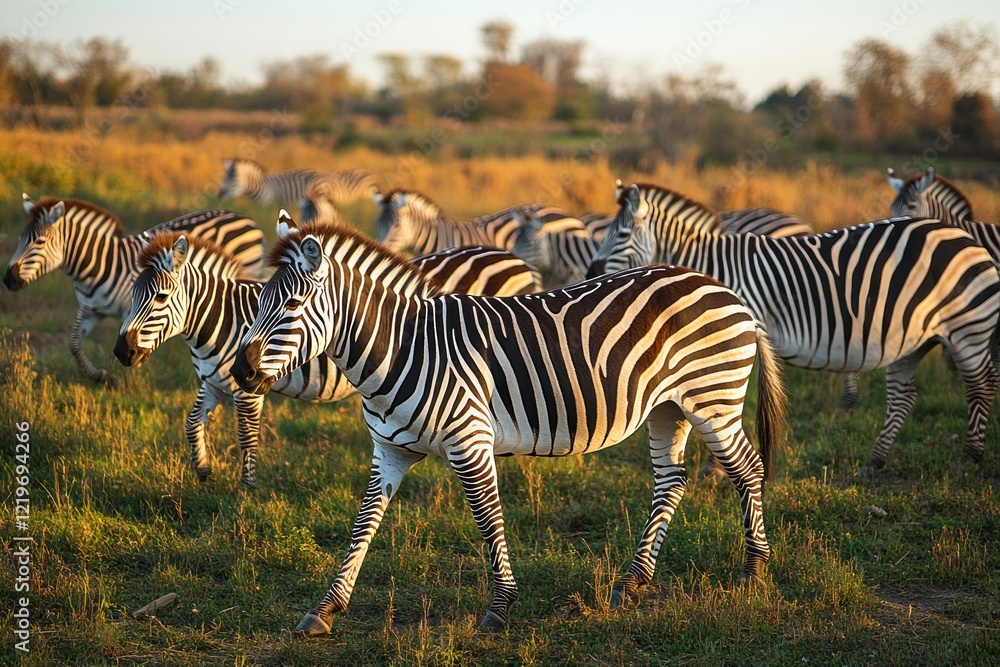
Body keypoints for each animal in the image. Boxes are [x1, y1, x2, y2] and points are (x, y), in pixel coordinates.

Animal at [3, 196, 265, 383]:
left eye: (39, 242)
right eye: (18, 240)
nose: (7, 280)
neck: (100, 264)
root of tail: (247, 219)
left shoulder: (133, 309)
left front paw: (130, 373)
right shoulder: (91, 309)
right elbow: (74, 343)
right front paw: (97, 376)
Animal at [113, 230, 539, 488]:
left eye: (160, 298)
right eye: (132, 295)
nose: (121, 352)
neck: (222, 318)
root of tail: (513, 258)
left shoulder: (247, 389)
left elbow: (246, 437)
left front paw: (245, 492)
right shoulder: (216, 382)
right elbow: (191, 424)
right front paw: (203, 470)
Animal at [230, 211, 786, 633]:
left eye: (293, 304)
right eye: (258, 303)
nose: (241, 371)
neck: (402, 348)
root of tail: (722, 288)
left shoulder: (469, 441)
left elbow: (488, 519)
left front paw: (499, 608)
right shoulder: (388, 449)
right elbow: (364, 522)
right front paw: (325, 608)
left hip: (712, 399)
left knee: (748, 471)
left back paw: (755, 571)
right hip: (670, 407)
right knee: (671, 480)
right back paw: (633, 584)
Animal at [588, 182, 1000, 474]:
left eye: (621, 235)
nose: (590, 270)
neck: (712, 267)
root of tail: (962, 234)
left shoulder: (733, 338)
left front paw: (715, 467)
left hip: (967, 329)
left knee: (980, 386)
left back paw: (969, 459)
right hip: (912, 340)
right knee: (905, 397)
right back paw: (874, 462)